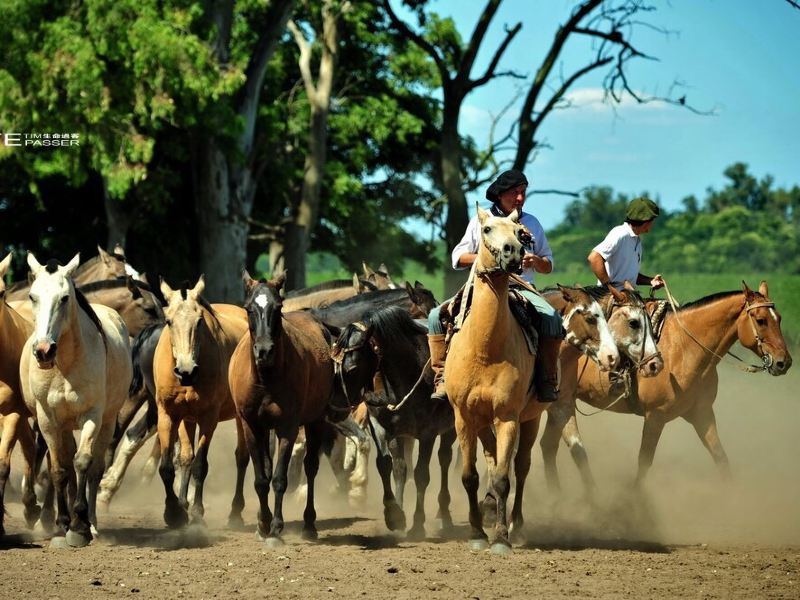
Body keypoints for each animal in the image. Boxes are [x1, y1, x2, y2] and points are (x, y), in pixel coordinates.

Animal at [19, 253, 133, 548]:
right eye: (33, 296)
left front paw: (80, 525)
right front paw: (62, 523)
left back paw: (91, 521)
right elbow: (59, 468)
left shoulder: (91, 416)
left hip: (106, 421)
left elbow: (83, 462)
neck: (65, 366)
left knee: (95, 469)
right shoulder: (48, 419)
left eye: (64, 298)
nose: (44, 350)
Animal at [228, 272, 338, 548]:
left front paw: (276, 528)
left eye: (277, 308)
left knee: (310, 467)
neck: (265, 379)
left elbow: (279, 478)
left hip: (316, 420)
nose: (264, 351)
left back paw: (309, 524)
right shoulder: (251, 425)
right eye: (249, 308)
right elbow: (261, 478)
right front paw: (263, 524)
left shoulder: (288, 427)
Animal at [332, 304, 456, 540]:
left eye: (353, 368)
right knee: (401, 467)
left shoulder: (427, 433)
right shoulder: (381, 428)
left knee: (444, 459)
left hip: (450, 429)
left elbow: (421, 474)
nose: (335, 406)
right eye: (335, 366)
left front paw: (418, 524)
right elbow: (386, 465)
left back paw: (445, 514)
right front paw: (394, 514)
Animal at [540, 282, 792, 488]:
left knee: (548, 446)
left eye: (779, 318)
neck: (685, 347)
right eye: (761, 320)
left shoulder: (702, 413)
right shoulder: (655, 416)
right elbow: (644, 462)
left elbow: (720, 457)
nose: (784, 362)